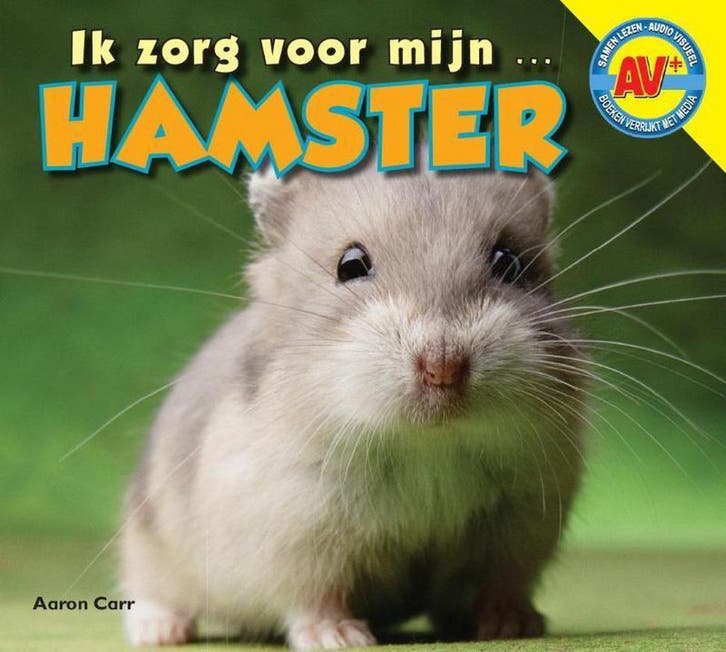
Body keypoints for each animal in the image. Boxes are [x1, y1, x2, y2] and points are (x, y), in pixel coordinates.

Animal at [120, 152, 587, 649]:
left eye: (508, 261)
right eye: (350, 265)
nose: (442, 366)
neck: (427, 444)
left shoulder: (519, 522)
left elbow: (500, 583)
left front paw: (513, 625)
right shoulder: (299, 532)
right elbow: (316, 595)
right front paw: (339, 638)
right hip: (149, 544)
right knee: (150, 589)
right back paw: (160, 631)